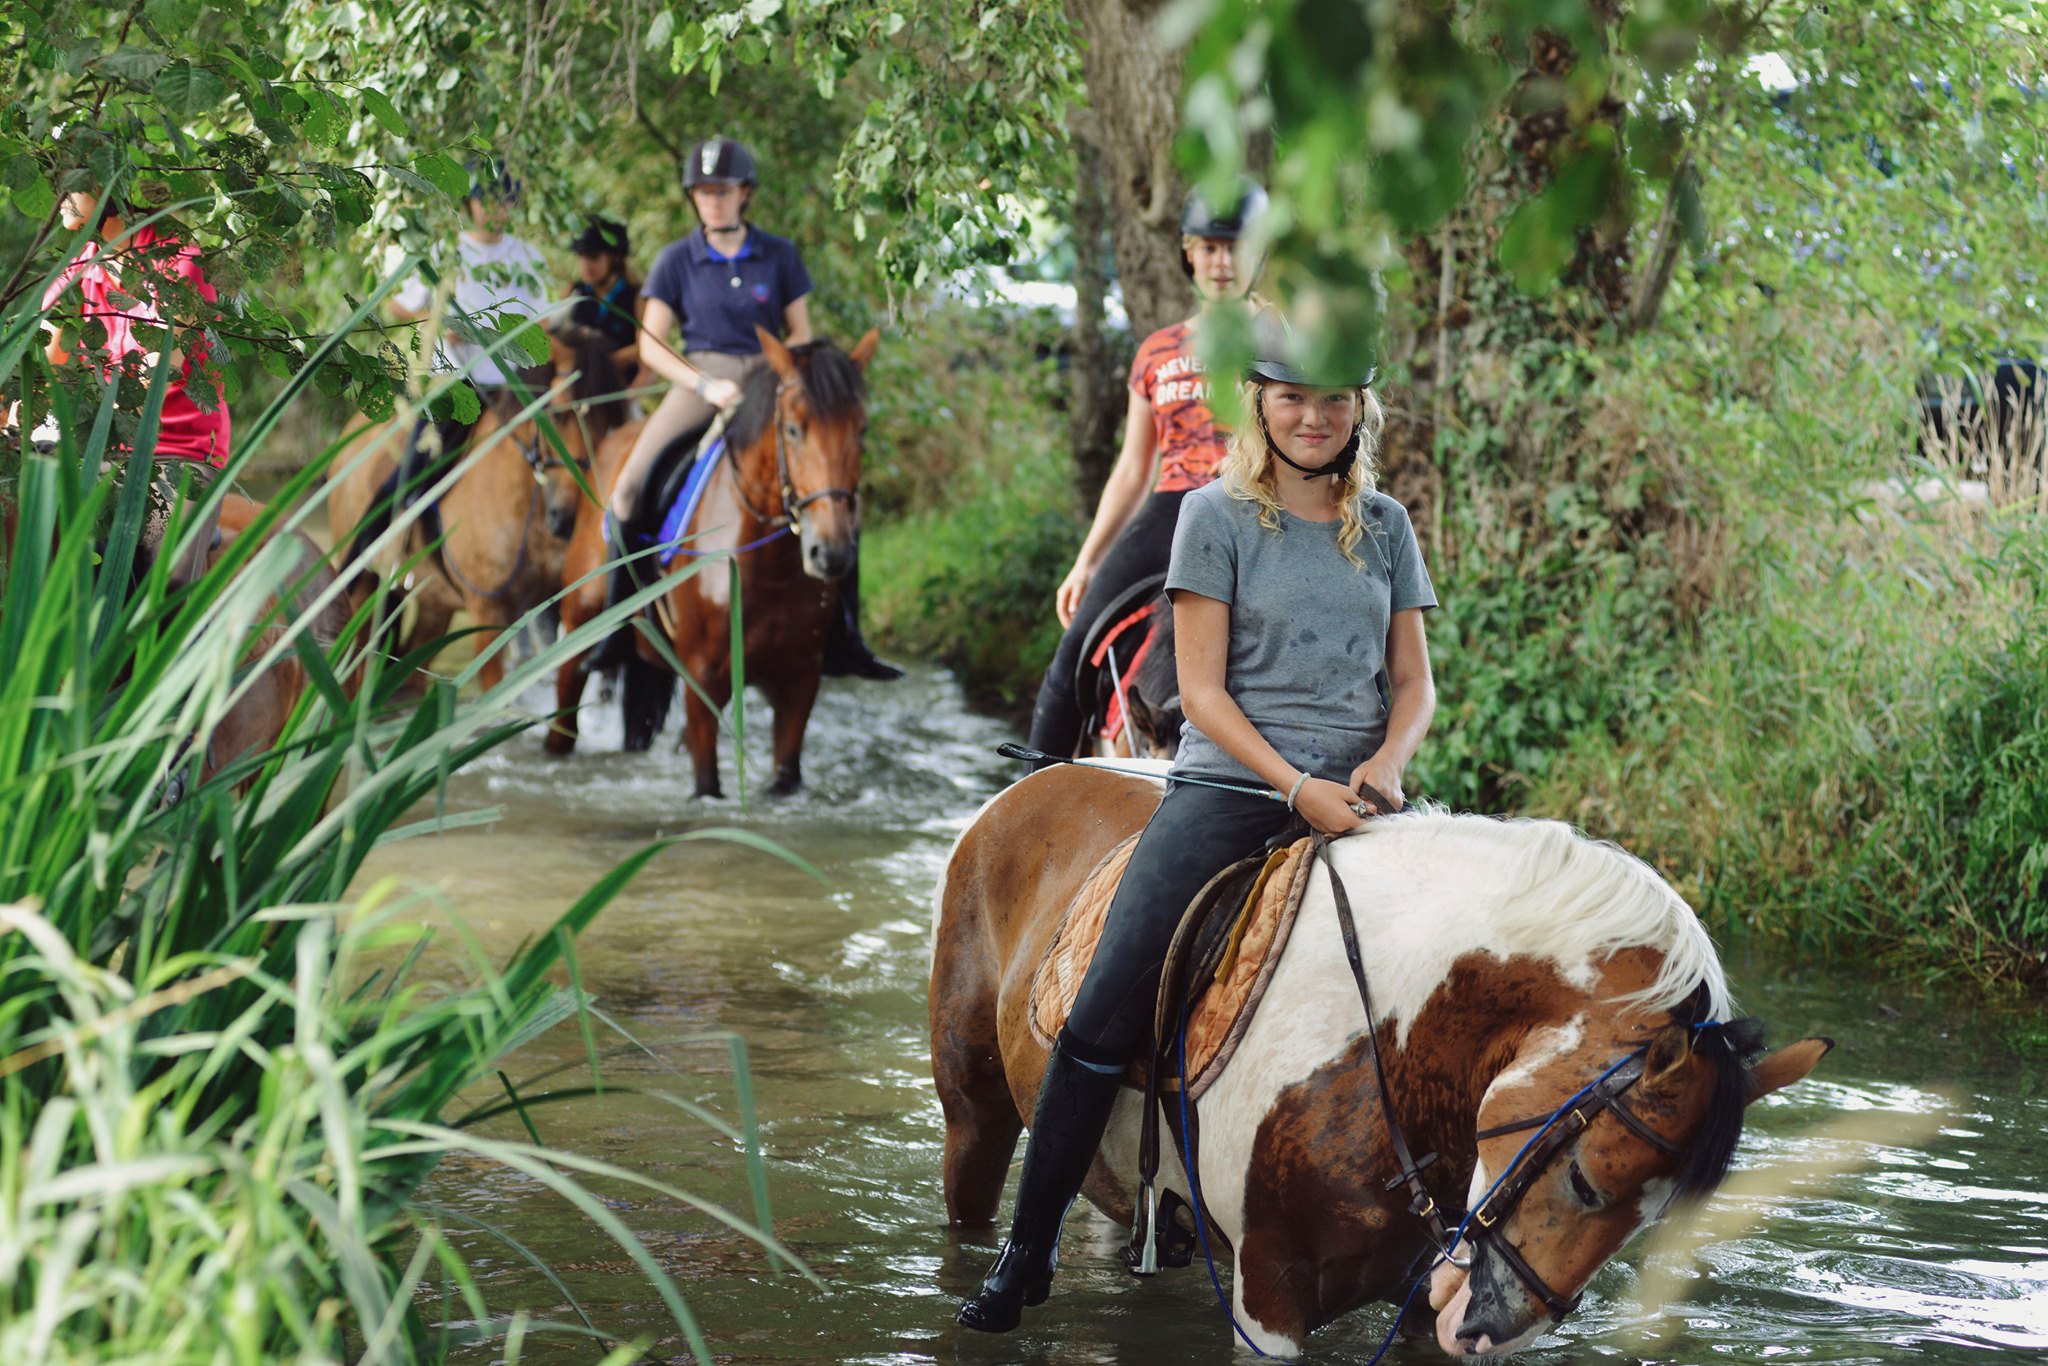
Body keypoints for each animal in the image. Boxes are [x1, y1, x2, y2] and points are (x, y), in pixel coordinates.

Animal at [319, 335, 618, 688]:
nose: (567, 518)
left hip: (433, 606)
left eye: (612, 420)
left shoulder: (554, 606)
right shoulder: (489, 615)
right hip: (364, 588)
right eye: (558, 416)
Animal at [552, 325, 880, 794]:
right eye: (793, 430)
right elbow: (707, 783)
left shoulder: (799, 684)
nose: (831, 553)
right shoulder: (703, 682)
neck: (771, 569)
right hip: (578, 632)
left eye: (861, 430)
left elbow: (785, 775)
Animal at [937, 770, 1835, 1359]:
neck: (1398, 1047)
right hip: (976, 1113)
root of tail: (1036, 780)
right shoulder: (1268, 1297)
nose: (1489, 1333)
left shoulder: (1414, 1305)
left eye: (1655, 1222)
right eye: (1587, 1181)